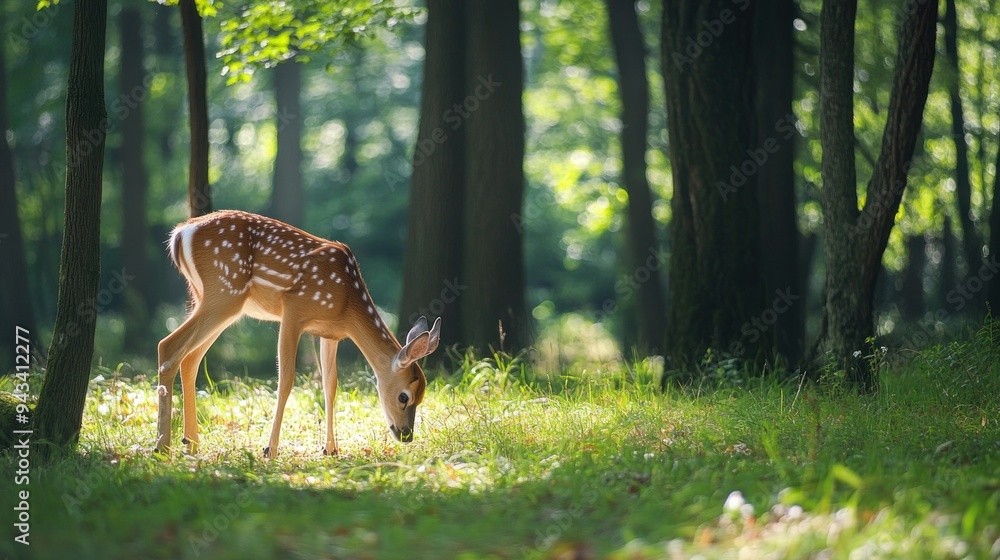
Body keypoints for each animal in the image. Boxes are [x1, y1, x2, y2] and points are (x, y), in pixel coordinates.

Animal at [154, 208, 440, 458]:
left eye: (422, 396)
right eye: (404, 396)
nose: (406, 435)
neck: (347, 301)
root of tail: (180, 233)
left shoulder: (331, 333)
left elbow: (330, 384)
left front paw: (330, 449)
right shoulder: (294, 310)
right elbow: (286, 380)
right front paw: (270, 449)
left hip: (209, 298)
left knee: (189, 359)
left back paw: (190, 443)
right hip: (225, 291)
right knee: (168, 346)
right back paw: (162, 447)